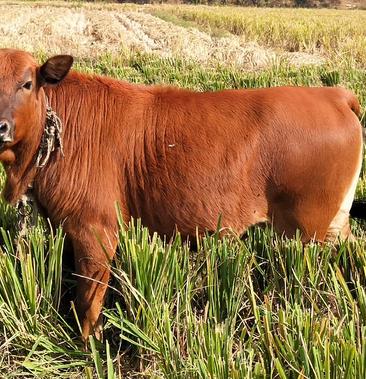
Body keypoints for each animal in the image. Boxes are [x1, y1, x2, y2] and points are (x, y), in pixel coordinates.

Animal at [0, 48, 362, 344]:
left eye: (27, 84)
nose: (0, 127)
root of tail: (334, 94)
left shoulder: (94, 230)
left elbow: (89, 297)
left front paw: (88, 347)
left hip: (308, 231)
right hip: (334, 224)